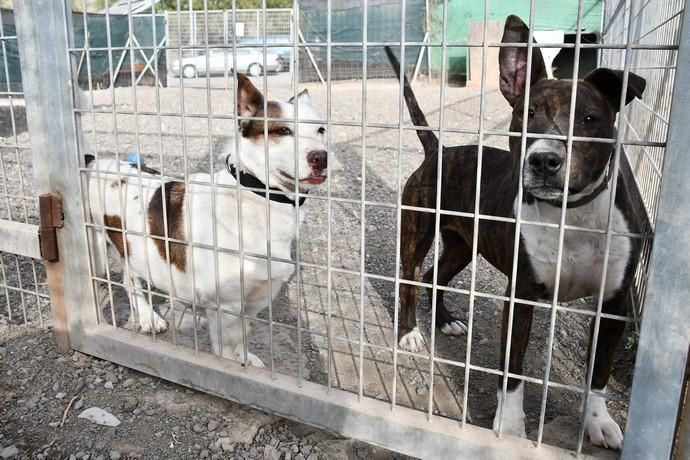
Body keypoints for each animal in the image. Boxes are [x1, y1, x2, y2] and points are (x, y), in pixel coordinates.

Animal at [86, 76, 328, 370]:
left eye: (320, 130)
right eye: (282, 130)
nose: (321, 157)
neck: (256, 196)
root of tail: (93, 162)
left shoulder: (256, 300)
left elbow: (242, 337)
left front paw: (246, 361)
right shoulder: (227, 305)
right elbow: (227, 347)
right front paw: (233, 367)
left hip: (132, 248)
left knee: (130, 279)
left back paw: (147, 318)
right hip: (96, 251)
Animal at [384, 14, 644, 450]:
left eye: (589, 119)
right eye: (527, 114)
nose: (543, 160)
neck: (570, 214)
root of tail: (440, 150)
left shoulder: (614, 303)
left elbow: (600, 373)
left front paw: (598, 422)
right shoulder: (521, 295)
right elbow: (512, 370)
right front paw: (508, 427)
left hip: (463, 245)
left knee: (437, 276)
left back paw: (446, 321)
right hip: (416, 235)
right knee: (411, 280)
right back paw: (410, 334)